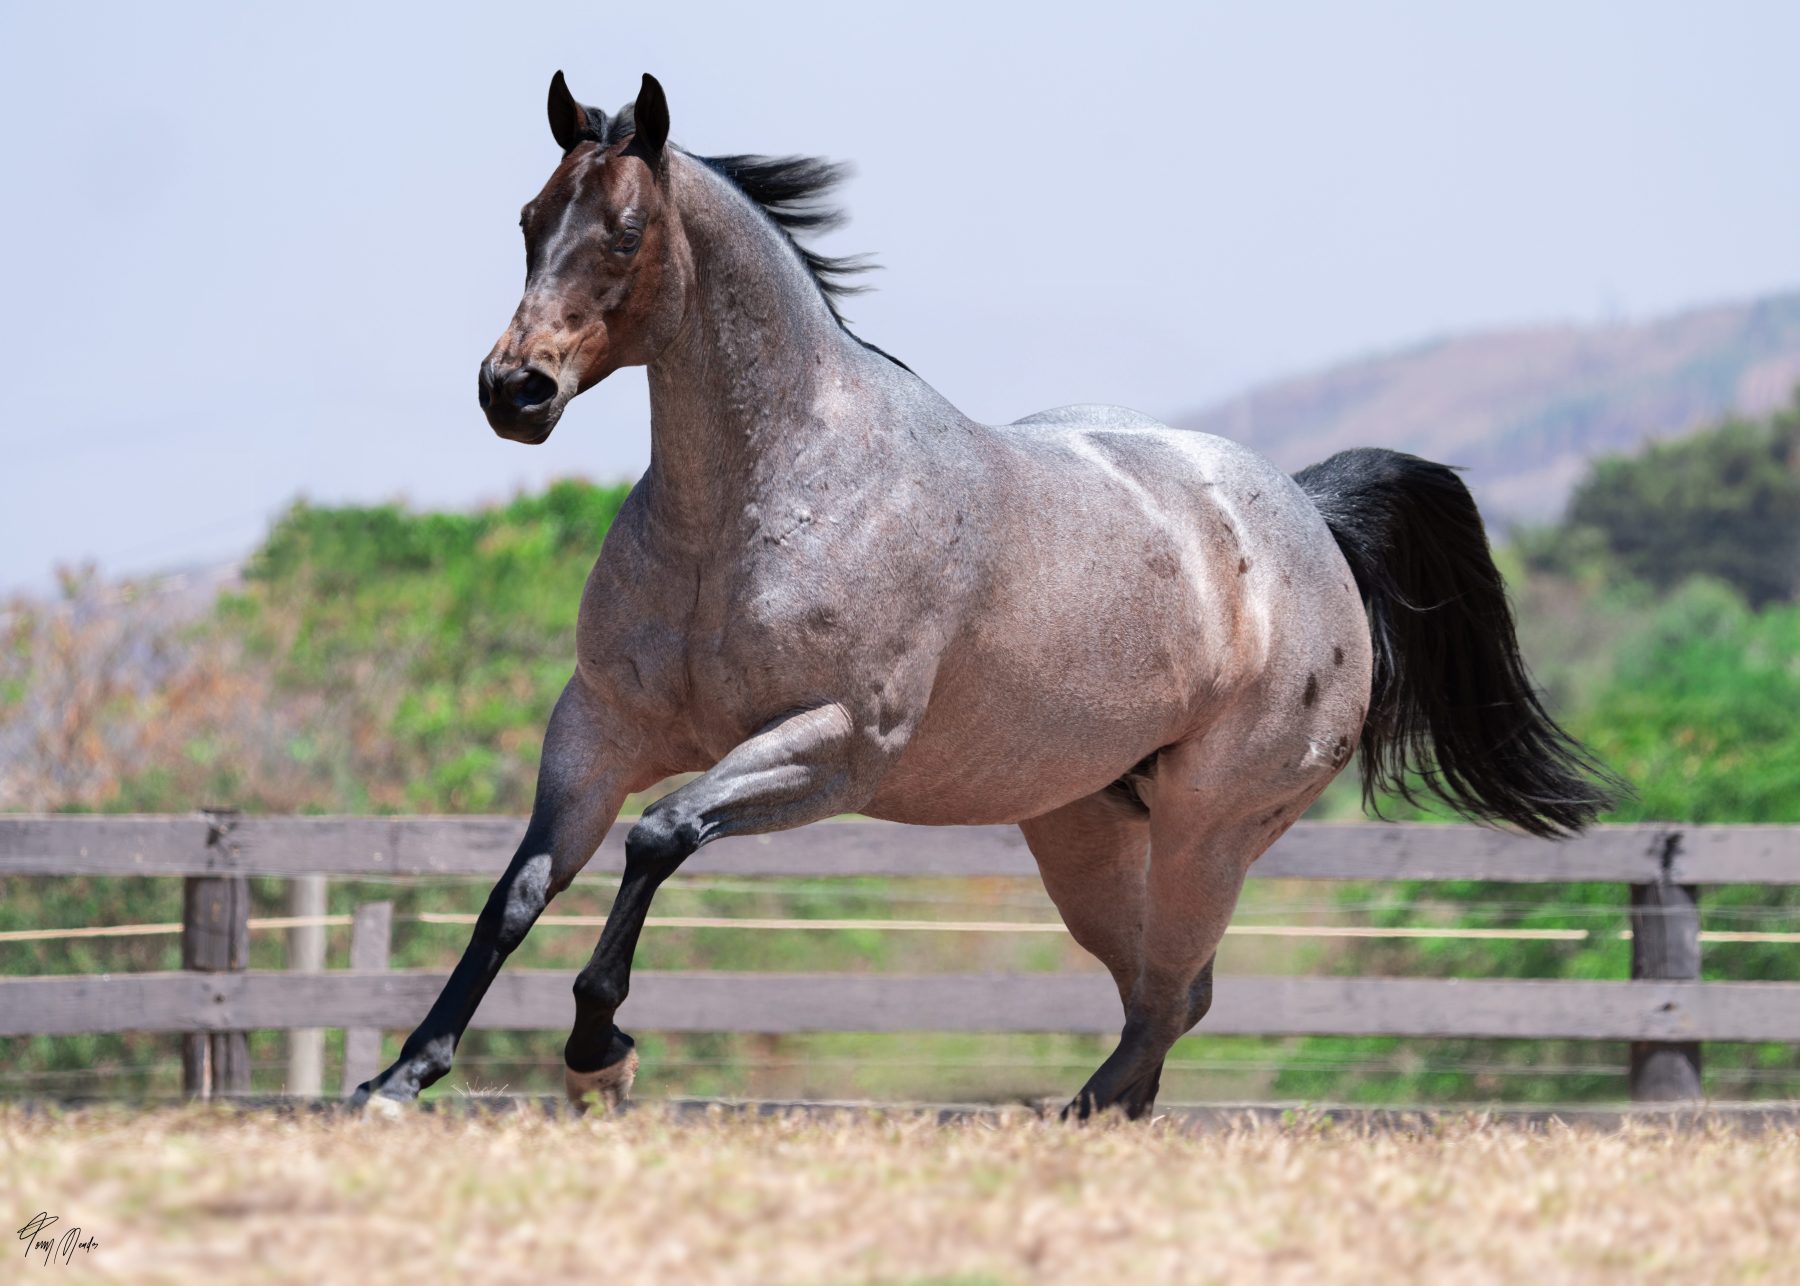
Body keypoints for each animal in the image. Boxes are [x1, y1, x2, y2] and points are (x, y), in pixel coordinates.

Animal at [350, 72, 1618, 1119]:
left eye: (622, 232)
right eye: (528, 221)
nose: (513, 390)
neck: (761, 500)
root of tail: (1303, 516)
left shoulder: (834, 748)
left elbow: (661, 835)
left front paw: (599, 1047)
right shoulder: (601, 724)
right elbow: (520, 887)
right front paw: (401, 1073)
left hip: (1213, 827)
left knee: (1174, 996)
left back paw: (1076, 1122)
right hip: (1086, 830)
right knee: (1163, 993)